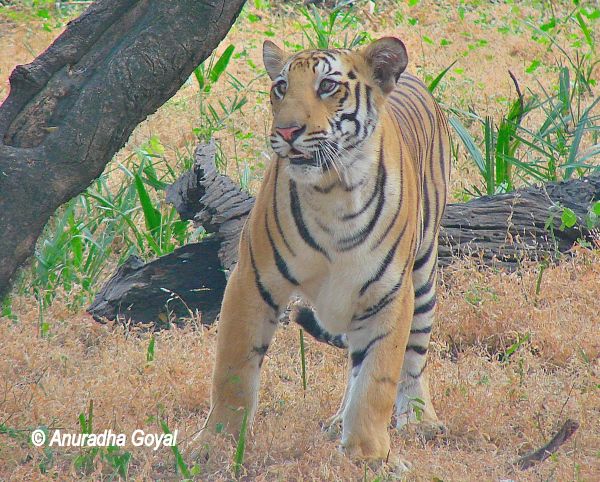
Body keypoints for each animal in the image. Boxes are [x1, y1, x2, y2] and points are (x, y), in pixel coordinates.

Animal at [196, 36, 450, 466]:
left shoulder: (389, 294)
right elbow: (233, 369)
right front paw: (214, 444)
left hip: (423, 273)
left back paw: (420, 419)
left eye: (328, 86)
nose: (286, 130)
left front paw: (370, 456)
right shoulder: (253, 280)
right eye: (281, 87)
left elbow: (377, 380)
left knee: (413, 355)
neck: (333, 190)